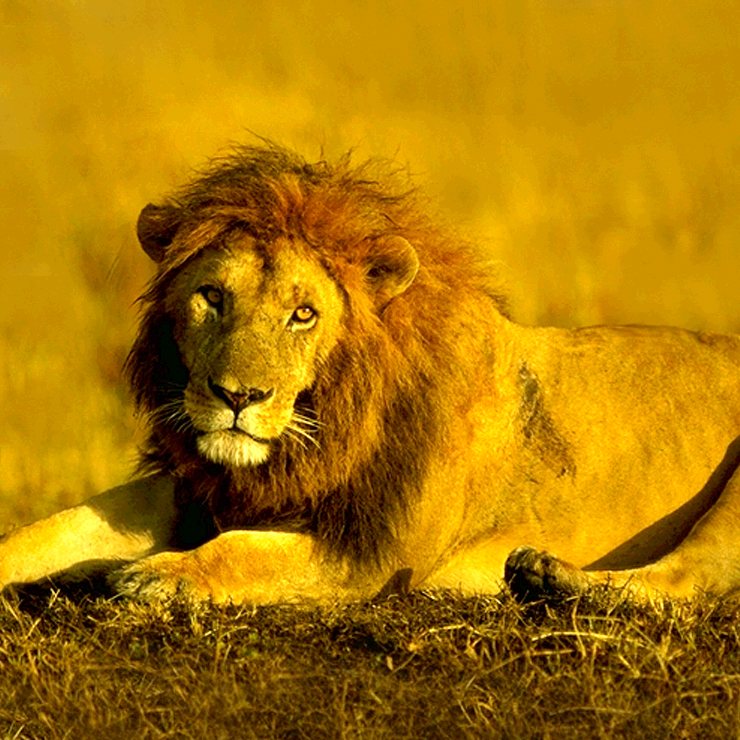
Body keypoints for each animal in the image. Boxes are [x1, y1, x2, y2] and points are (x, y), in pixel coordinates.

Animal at [1, 142, 739, 605]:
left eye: (303, 314)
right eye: (212, 297)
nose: (237, 397)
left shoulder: (373, 552)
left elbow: (245, 551)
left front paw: (157, 578)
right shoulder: (198, 488)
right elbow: (52, 529)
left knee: (689, 583)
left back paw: (549, 576)